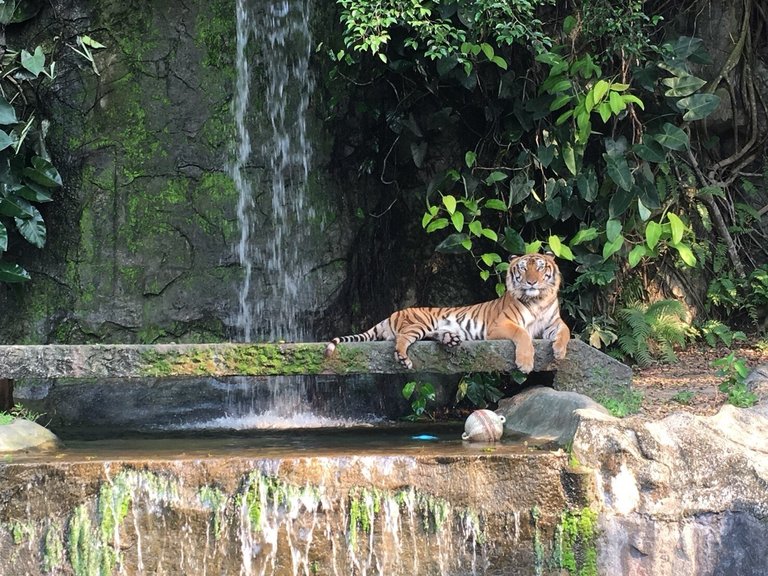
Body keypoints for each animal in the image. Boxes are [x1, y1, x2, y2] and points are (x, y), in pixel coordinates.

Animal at [324, 253, 568, 374]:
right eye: (523, 268)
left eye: (540, 267)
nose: (531, 282)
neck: (537, 300)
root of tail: (392, 314)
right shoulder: (500, 325)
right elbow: (523, 335)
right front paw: (525, 364)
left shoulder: (553, 323)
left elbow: (565, 331)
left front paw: (560, 352)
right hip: (419, 323)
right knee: (401, 339)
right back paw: (404, 358)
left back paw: (451, 338)